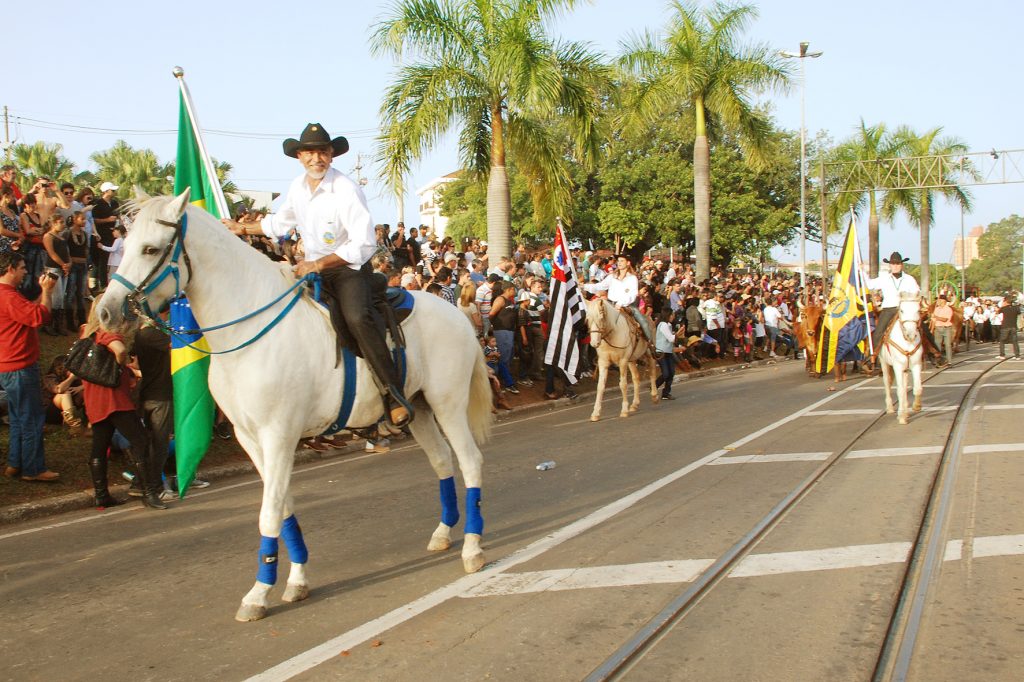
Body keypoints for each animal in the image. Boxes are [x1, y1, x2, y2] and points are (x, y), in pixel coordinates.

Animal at [95, 188, 491, 618]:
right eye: (125, 243)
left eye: (150, 249)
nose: (106, 311)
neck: (248, 332)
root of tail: (456, 314)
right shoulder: (251, 439)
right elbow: (283, 505)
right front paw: (296, 580)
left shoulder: (279, 435)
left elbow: (269, 511)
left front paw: (258, 593)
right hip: (418, 410)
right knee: (442, 461)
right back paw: (444, 533)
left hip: (448, 404)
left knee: (470, 462)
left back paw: (472, 548)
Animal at [876, 292, 925, 421]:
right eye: (902, 310)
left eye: (918, 310)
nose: (911, 334)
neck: (906, 341)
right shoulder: (897, 366)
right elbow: (900, 390)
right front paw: (902, 416)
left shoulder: (916, 364)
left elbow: (917, 388)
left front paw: (916, 406)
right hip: (884, 363)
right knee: (887, 383)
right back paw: (890, 408)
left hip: (905, 369)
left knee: (904, 384)